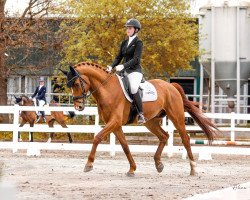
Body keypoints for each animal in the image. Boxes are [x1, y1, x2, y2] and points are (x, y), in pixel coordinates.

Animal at [61, 62, 219, 177]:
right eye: (69, 86)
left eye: (76, 84)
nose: (78, 106)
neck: (107, 90)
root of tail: (170, 85)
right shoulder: (115, 125)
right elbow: (125, 146)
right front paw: (132, 169)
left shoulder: (114, 122)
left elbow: (97, 137)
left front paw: (88, 164)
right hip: (151, 122)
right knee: (164, 136)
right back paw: (158, 164)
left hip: (177, 117)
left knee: (185, 139)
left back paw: (193, 168)